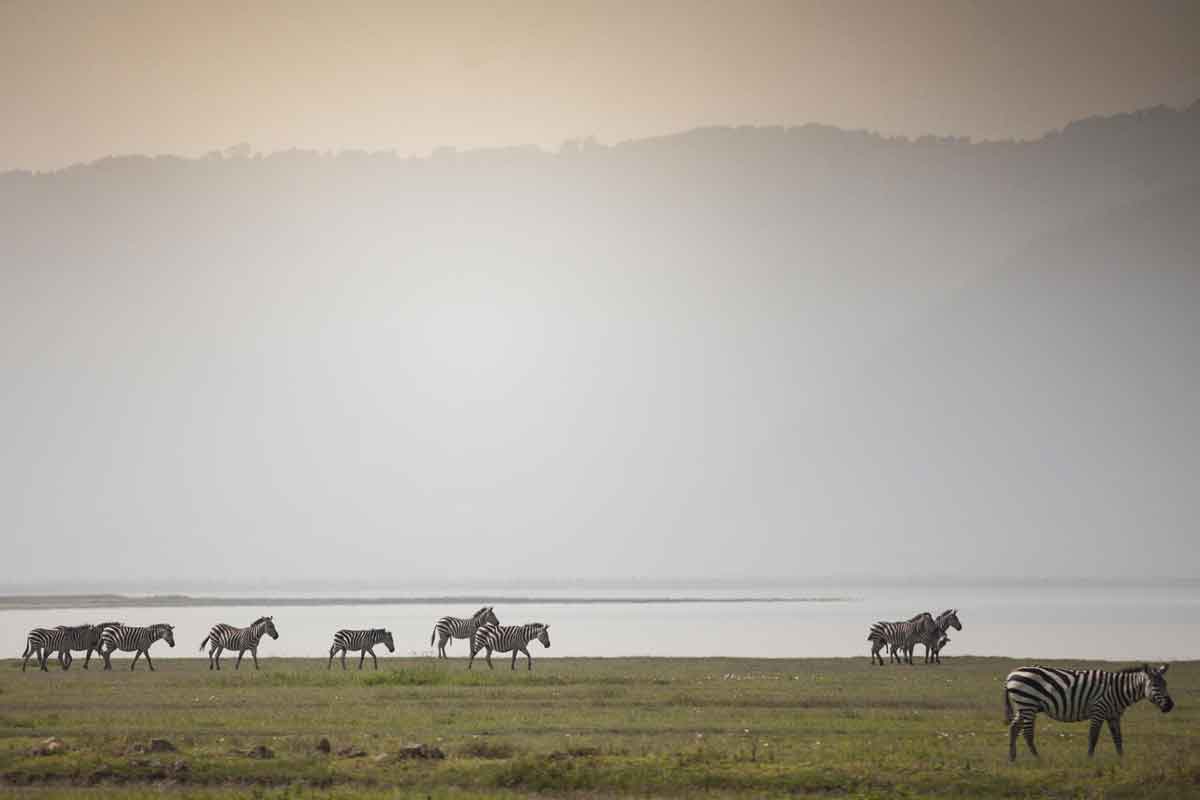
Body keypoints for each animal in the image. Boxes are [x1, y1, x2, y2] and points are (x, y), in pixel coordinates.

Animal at [1003, 662, 1171, 762]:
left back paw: (1012, 758)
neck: (1118, 690)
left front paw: (1121, 759)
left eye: (1166, 684)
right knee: (1027, 733)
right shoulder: (1099, 710)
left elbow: (1118, 738)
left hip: (1023, 706)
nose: (1170, 706)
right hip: (1028, 703)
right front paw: (1089, 759)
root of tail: (1011, 674)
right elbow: (1093, 737)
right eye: (1155, 685)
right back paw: (1037, 758)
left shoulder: (1114, 715)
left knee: (1014, 728)